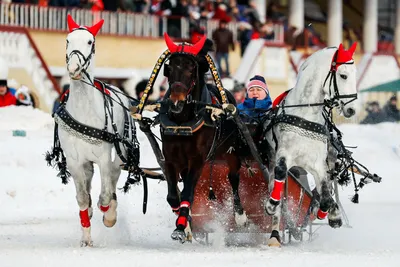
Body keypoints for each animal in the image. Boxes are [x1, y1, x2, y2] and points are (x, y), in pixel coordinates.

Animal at [56, 15, 133, 248]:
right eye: (67, 40)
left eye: (90, 41)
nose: (73, 67)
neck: (84, 110)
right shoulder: (74, 160)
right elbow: (82, 198)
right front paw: (86, 238)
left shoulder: (103, 157)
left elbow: (106, 194)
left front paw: (108, 215)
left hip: (121, 150)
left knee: (115, 174)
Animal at [264, 43, 358, 247]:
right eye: (343, 75)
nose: (352, 110)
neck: (305, 115)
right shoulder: (283, 153)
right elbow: (281, 173)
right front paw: (271, 203)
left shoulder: (317, 164)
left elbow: (325, 192)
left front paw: (329, 213)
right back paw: (274, 234)